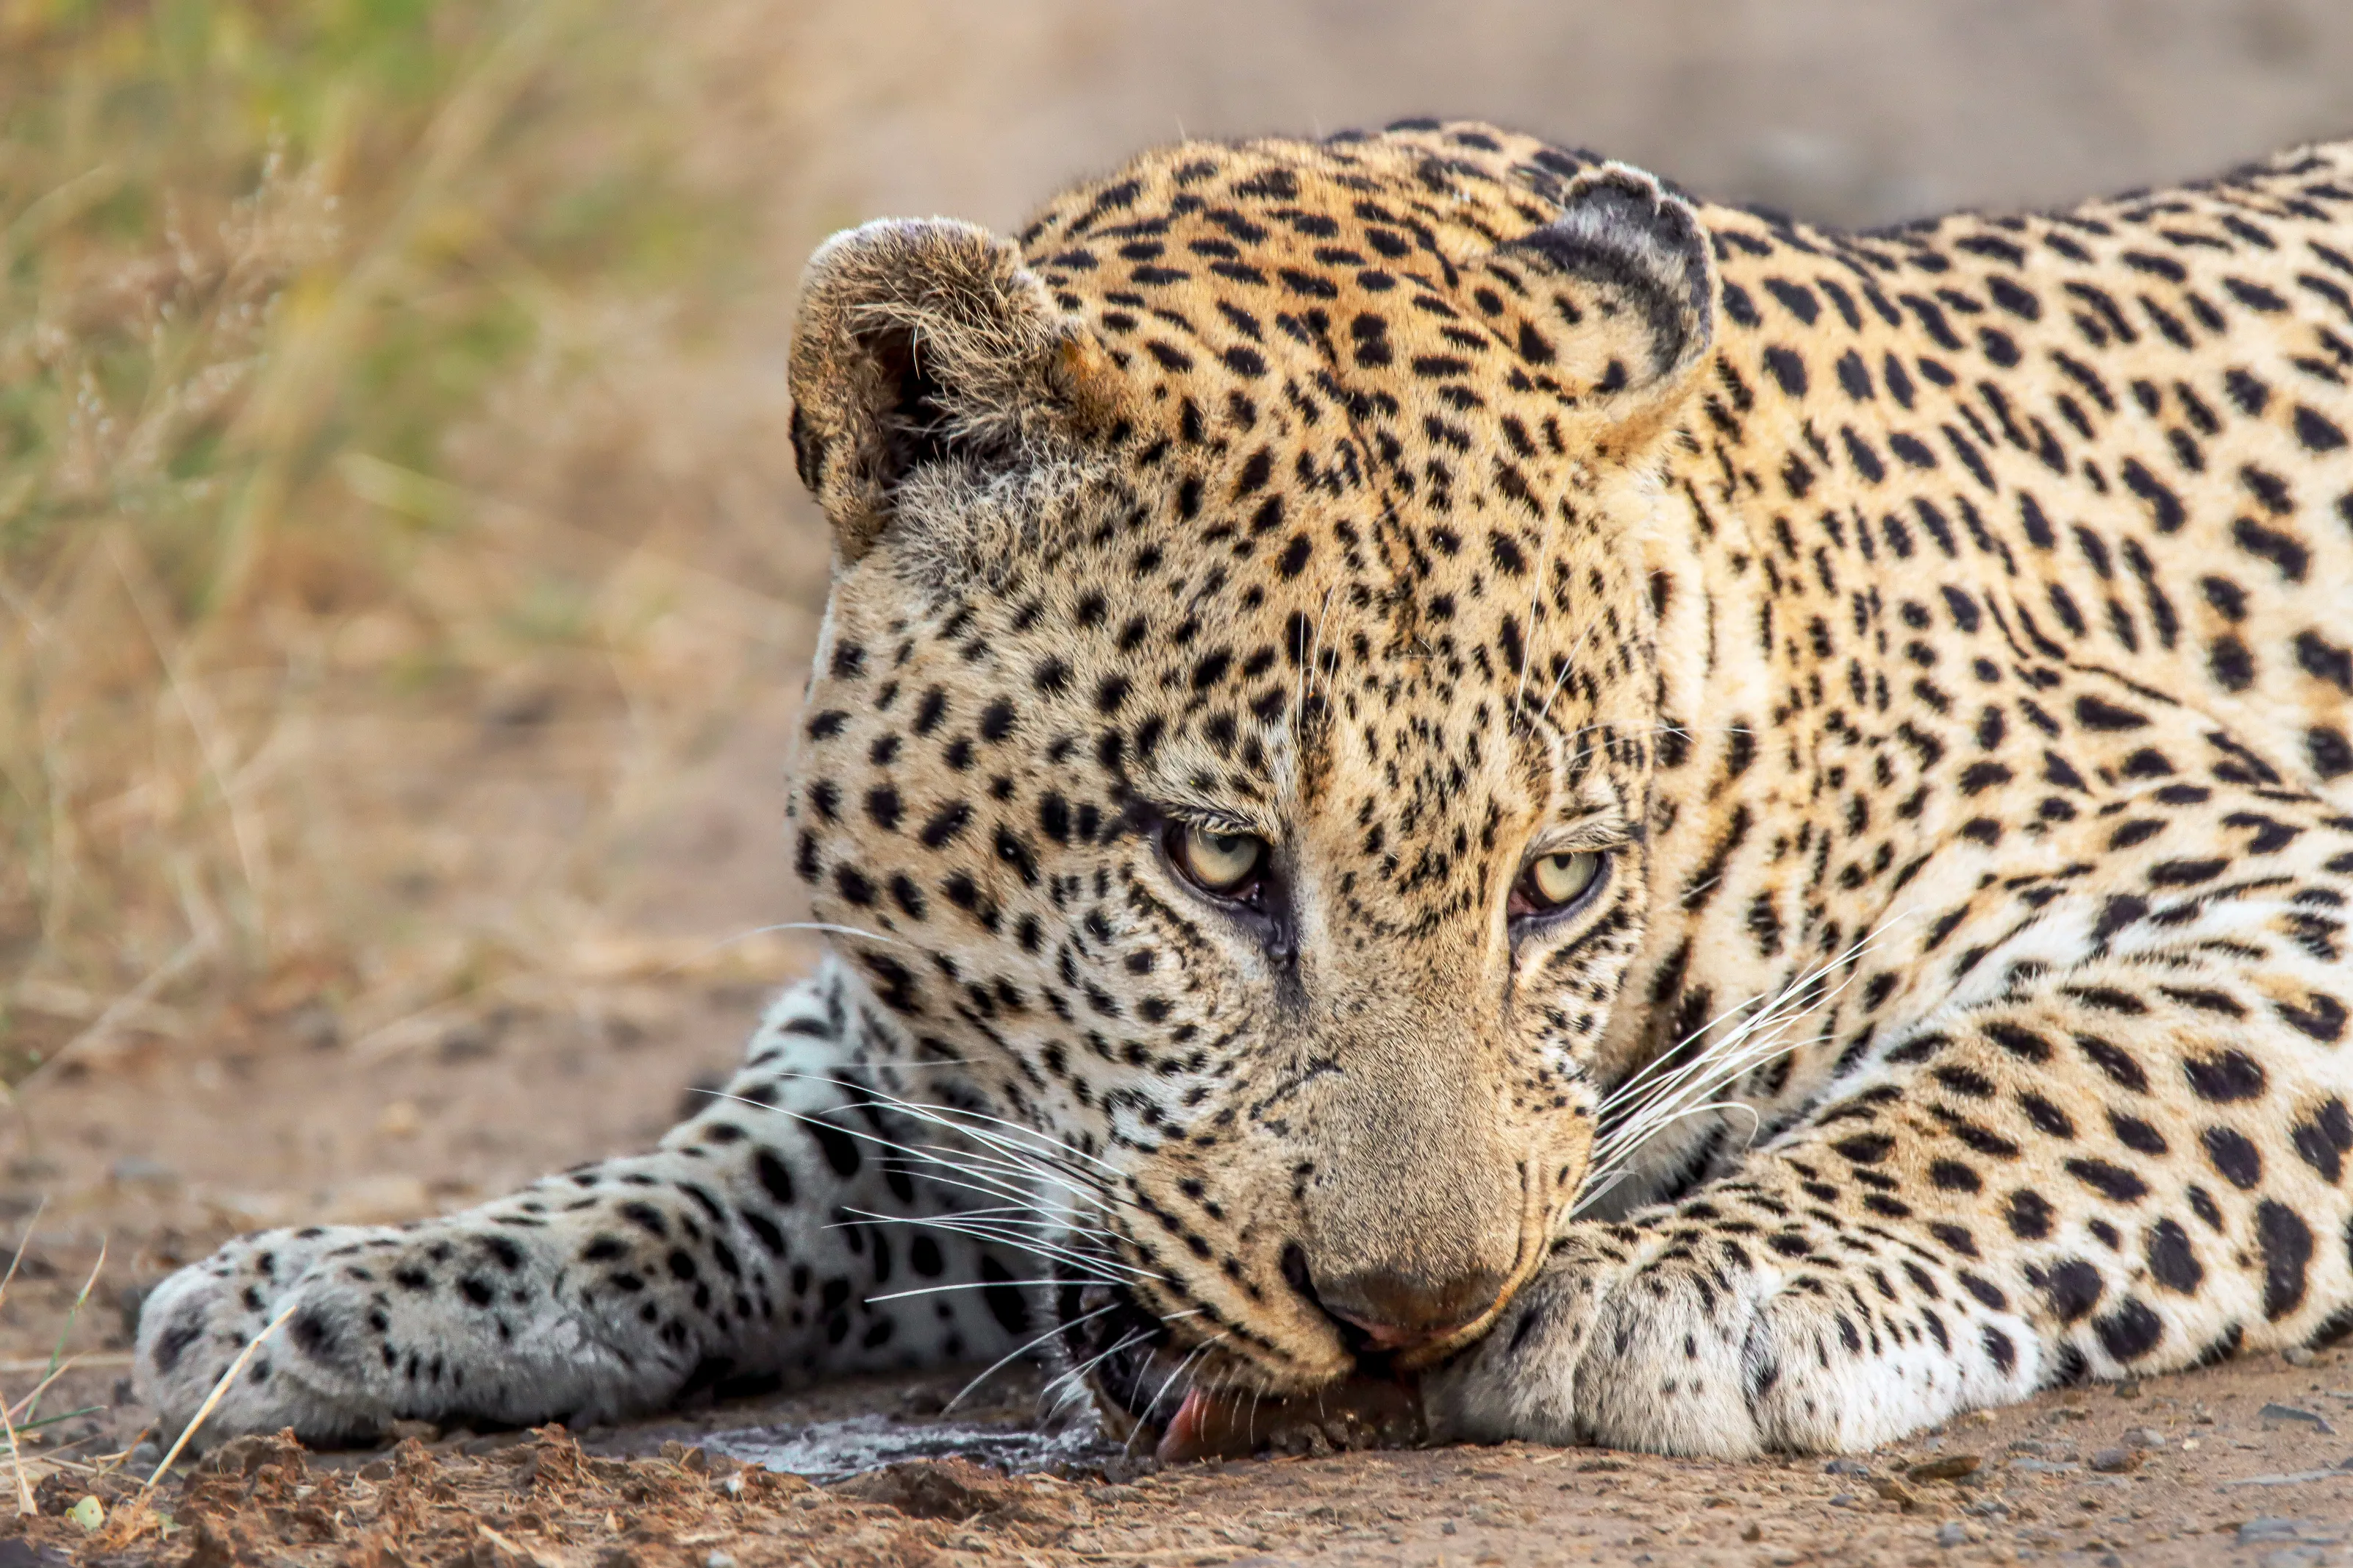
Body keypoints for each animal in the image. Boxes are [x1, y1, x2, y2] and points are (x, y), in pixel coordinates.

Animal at [135, 119, 2353, 1461]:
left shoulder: (2270, 877)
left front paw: (1685, 1279)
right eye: (1215, 862)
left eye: (1560, 883)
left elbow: (2035, 1075)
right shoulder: (920, 1061)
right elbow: (747, 1154)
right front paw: (363, 1282)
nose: (1413, 1311)